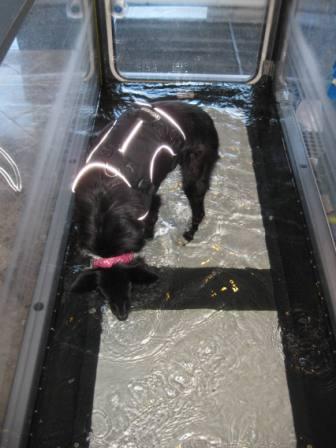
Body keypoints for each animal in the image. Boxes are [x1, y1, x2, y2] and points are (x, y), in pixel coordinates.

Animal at [71, 101, 218, 318]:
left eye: (130, 286)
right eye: (102, 293)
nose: (122, 317)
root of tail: (202, 112)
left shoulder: (151, 202)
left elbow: (148, 228)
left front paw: (149, 237)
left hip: (194, 175)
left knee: (199, 211)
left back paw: (187, 235)